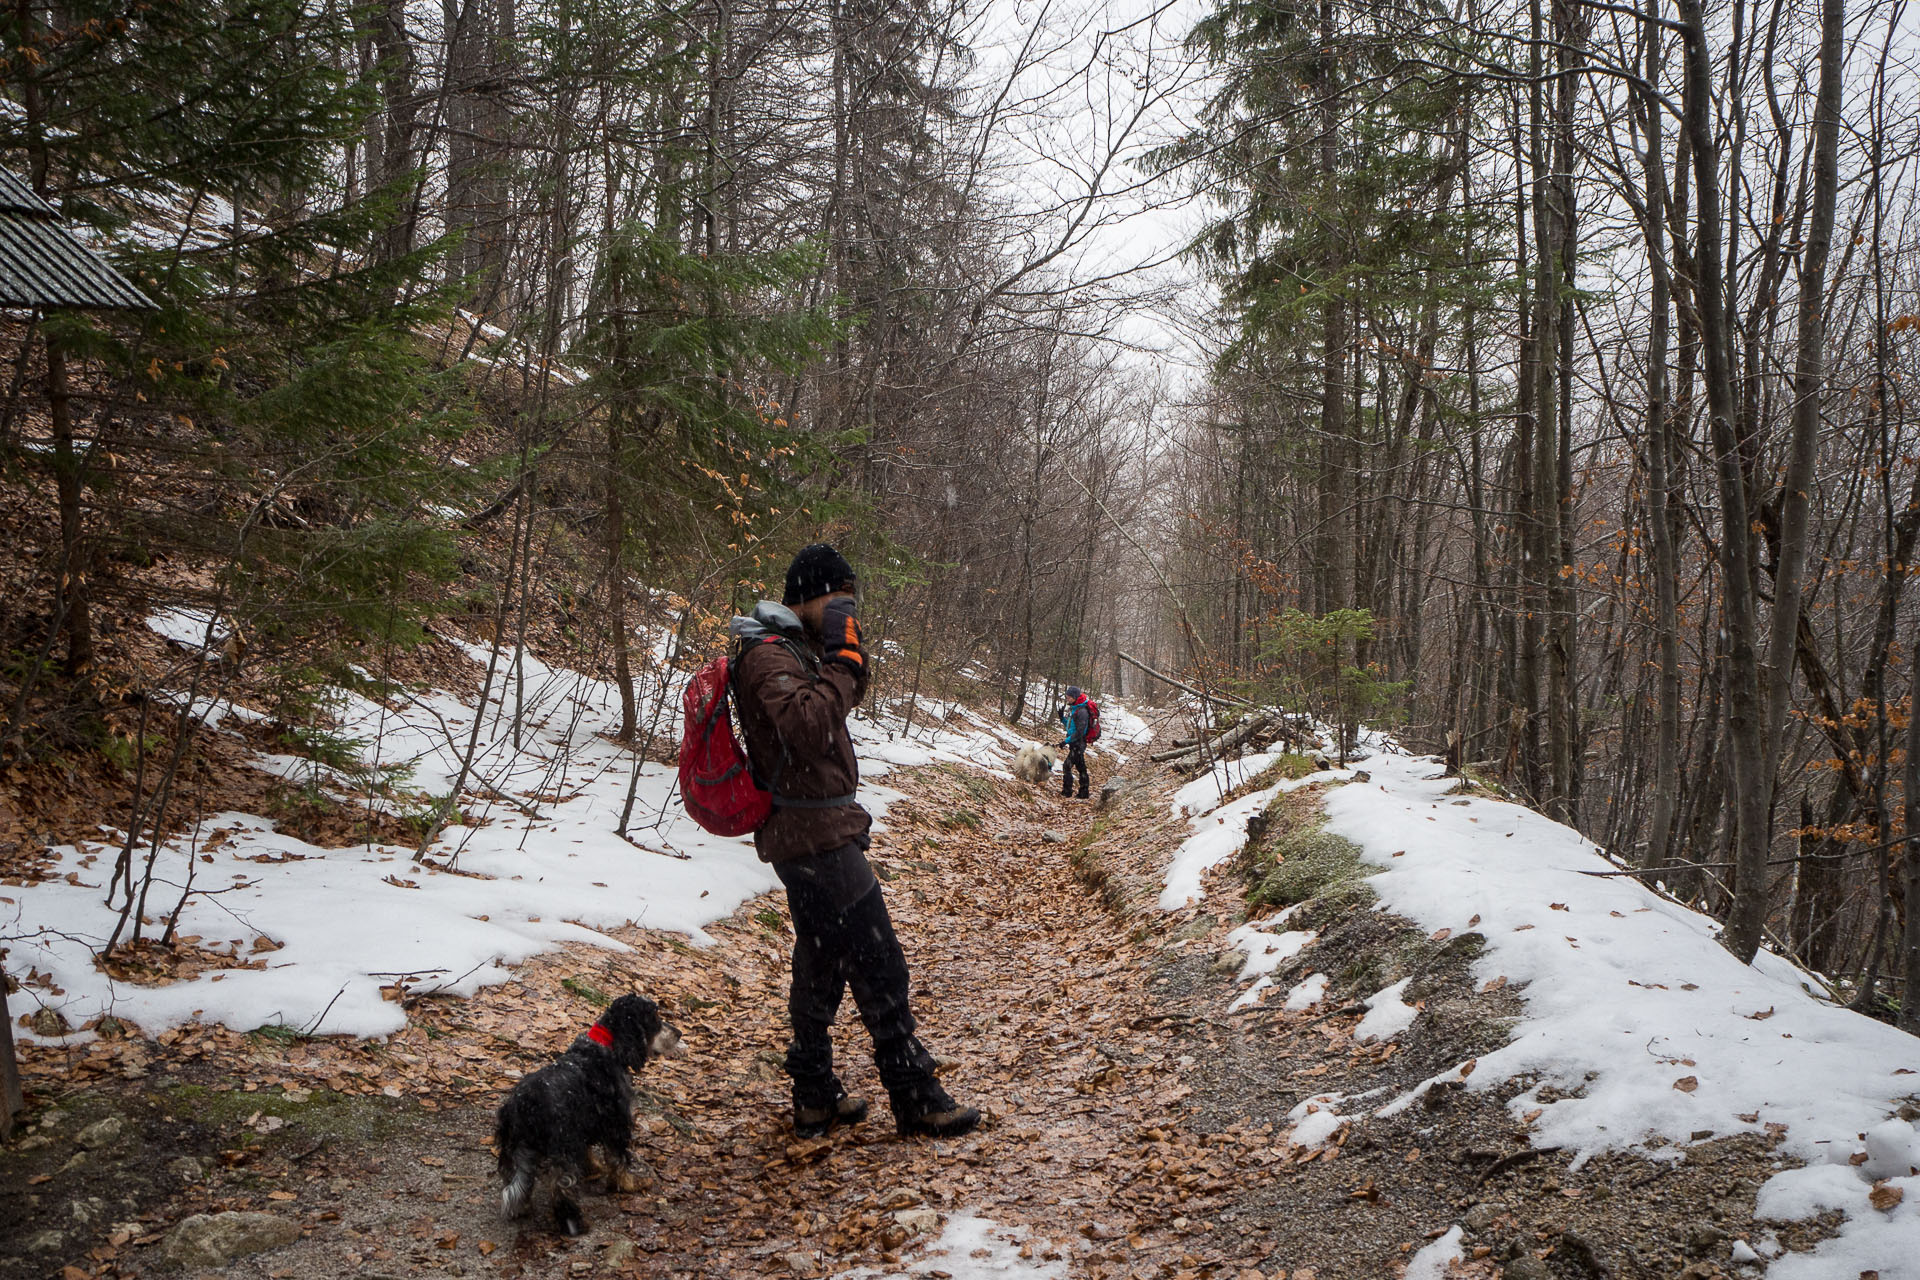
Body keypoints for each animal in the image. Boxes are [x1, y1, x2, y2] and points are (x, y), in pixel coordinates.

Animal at [495, 997, 683, 1235]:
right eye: (655, 1017)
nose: (679, 1033)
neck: (606, 1045)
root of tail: (523, 1104)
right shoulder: (616, 1124)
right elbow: (619, 1161)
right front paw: (630, 1184)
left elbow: (590, 1154)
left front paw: (594, 1168)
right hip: (562, 1148)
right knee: (561, 1187)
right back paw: (574, 1223)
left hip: (515, 1149)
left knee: (516, 1181)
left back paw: (522, 1209)